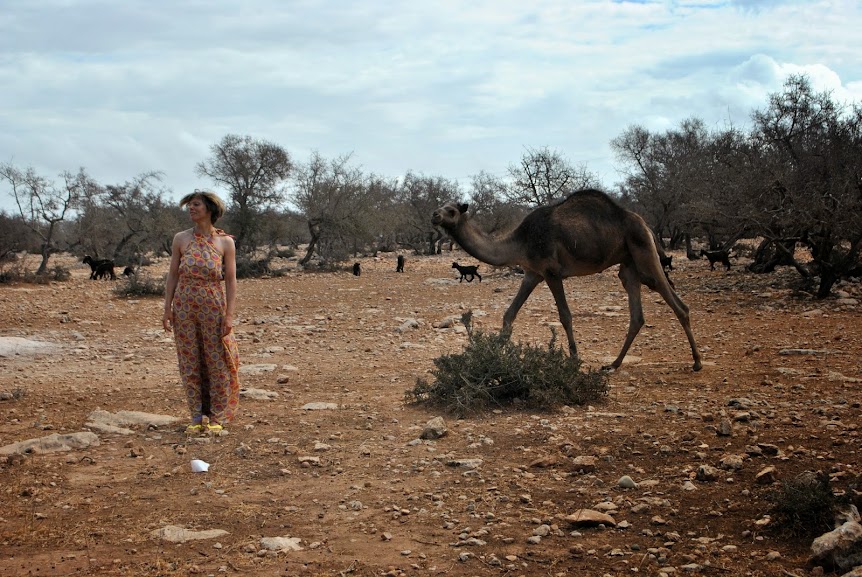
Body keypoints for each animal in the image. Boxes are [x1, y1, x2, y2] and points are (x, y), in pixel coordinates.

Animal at [436, 187, 704, 372]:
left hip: (643, 249)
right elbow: (509, 314)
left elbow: (565, 316)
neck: (519, 242)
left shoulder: (551, 272)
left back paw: (697, 362)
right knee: (637, 312)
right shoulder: (533, 273)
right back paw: (613, 364)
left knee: (674, 299)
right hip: (628, 263)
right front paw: (493, 356)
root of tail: (645, 224)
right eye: (441, 207)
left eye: (451, 211)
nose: (434, 215)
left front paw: (574, 360)